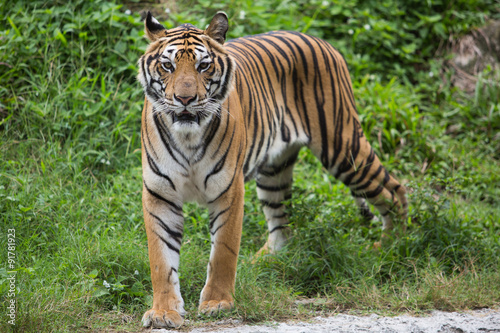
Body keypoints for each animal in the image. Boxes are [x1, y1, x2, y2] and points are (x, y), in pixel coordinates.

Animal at [137, 11, 406, 328]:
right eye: (167, 65)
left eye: (204, 66)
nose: (185, 100)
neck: (187, 136)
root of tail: (321, 40)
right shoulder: (160, 195)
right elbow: (161, 260)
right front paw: (163, 312)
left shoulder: (229, 190)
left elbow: (223, 252)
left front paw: (218, 303)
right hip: (274, 172)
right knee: (280, 224)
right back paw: (264, 262)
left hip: (344, 149)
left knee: (394, 190)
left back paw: (392, 246)